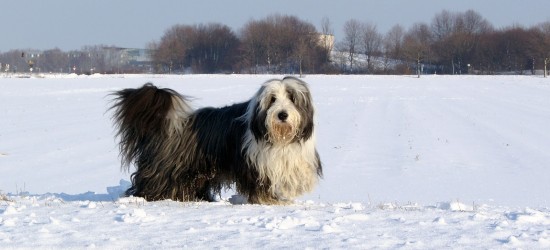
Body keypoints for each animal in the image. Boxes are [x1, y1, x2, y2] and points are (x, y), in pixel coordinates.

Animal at [110, 76, 322, 205]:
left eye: (292, 97)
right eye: (272, 99)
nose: (282, 114)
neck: (279, 139)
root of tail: (166, 123)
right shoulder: (255, 164)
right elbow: (261, 185)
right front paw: (269, 200)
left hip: (195, 172)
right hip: (167, 170)